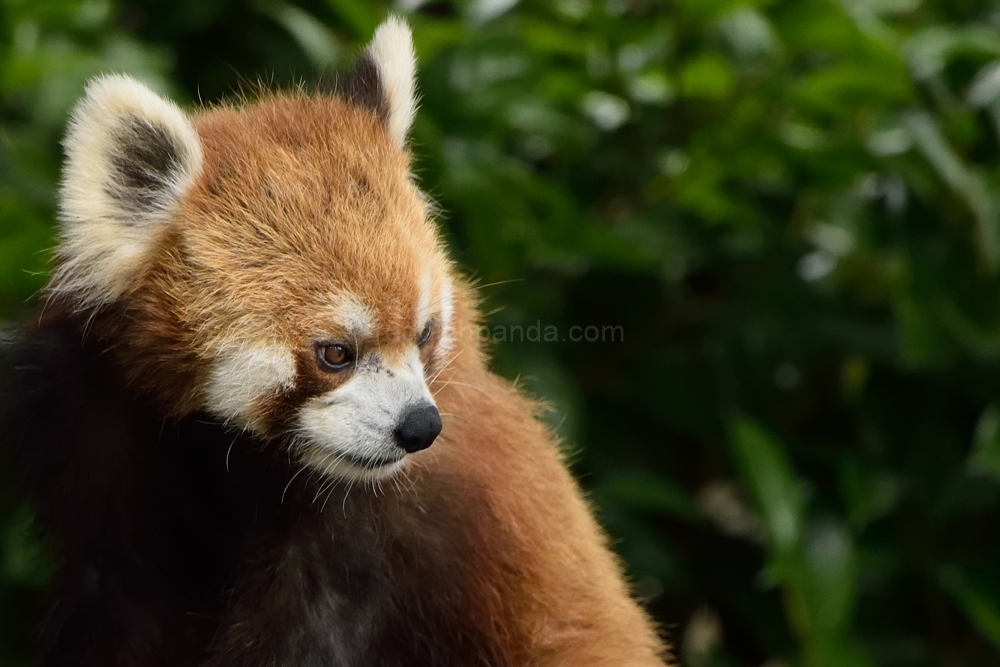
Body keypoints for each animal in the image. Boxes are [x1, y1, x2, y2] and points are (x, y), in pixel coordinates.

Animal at [5, 15, 672, 667]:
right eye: (335, 353)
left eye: (425, 334)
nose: (420, 427)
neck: (222, 453)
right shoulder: (101, 452)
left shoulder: (366, 538)